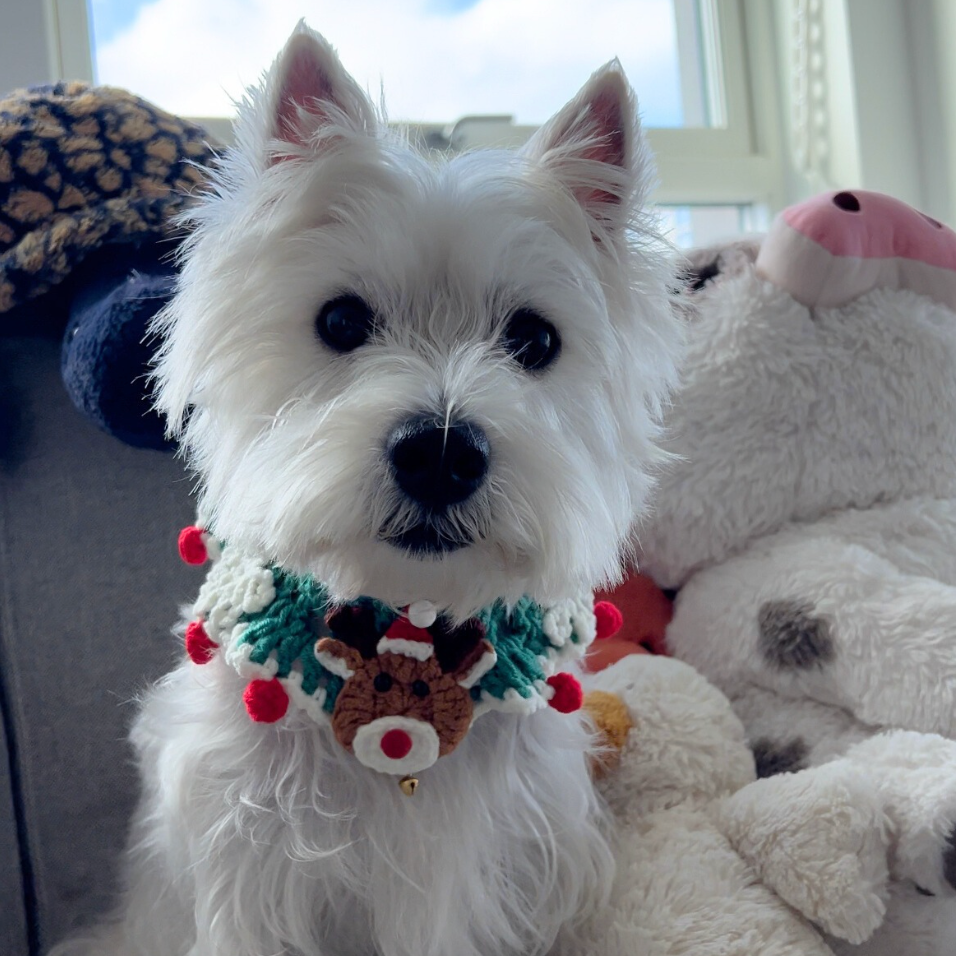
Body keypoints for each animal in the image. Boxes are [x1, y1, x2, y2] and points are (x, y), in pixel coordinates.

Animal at [52, 22, 684, 956]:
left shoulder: (508, 864)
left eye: (535, 339)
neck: (404, 632)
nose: (441, 454)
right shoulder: (251, 869)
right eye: (341, 321)